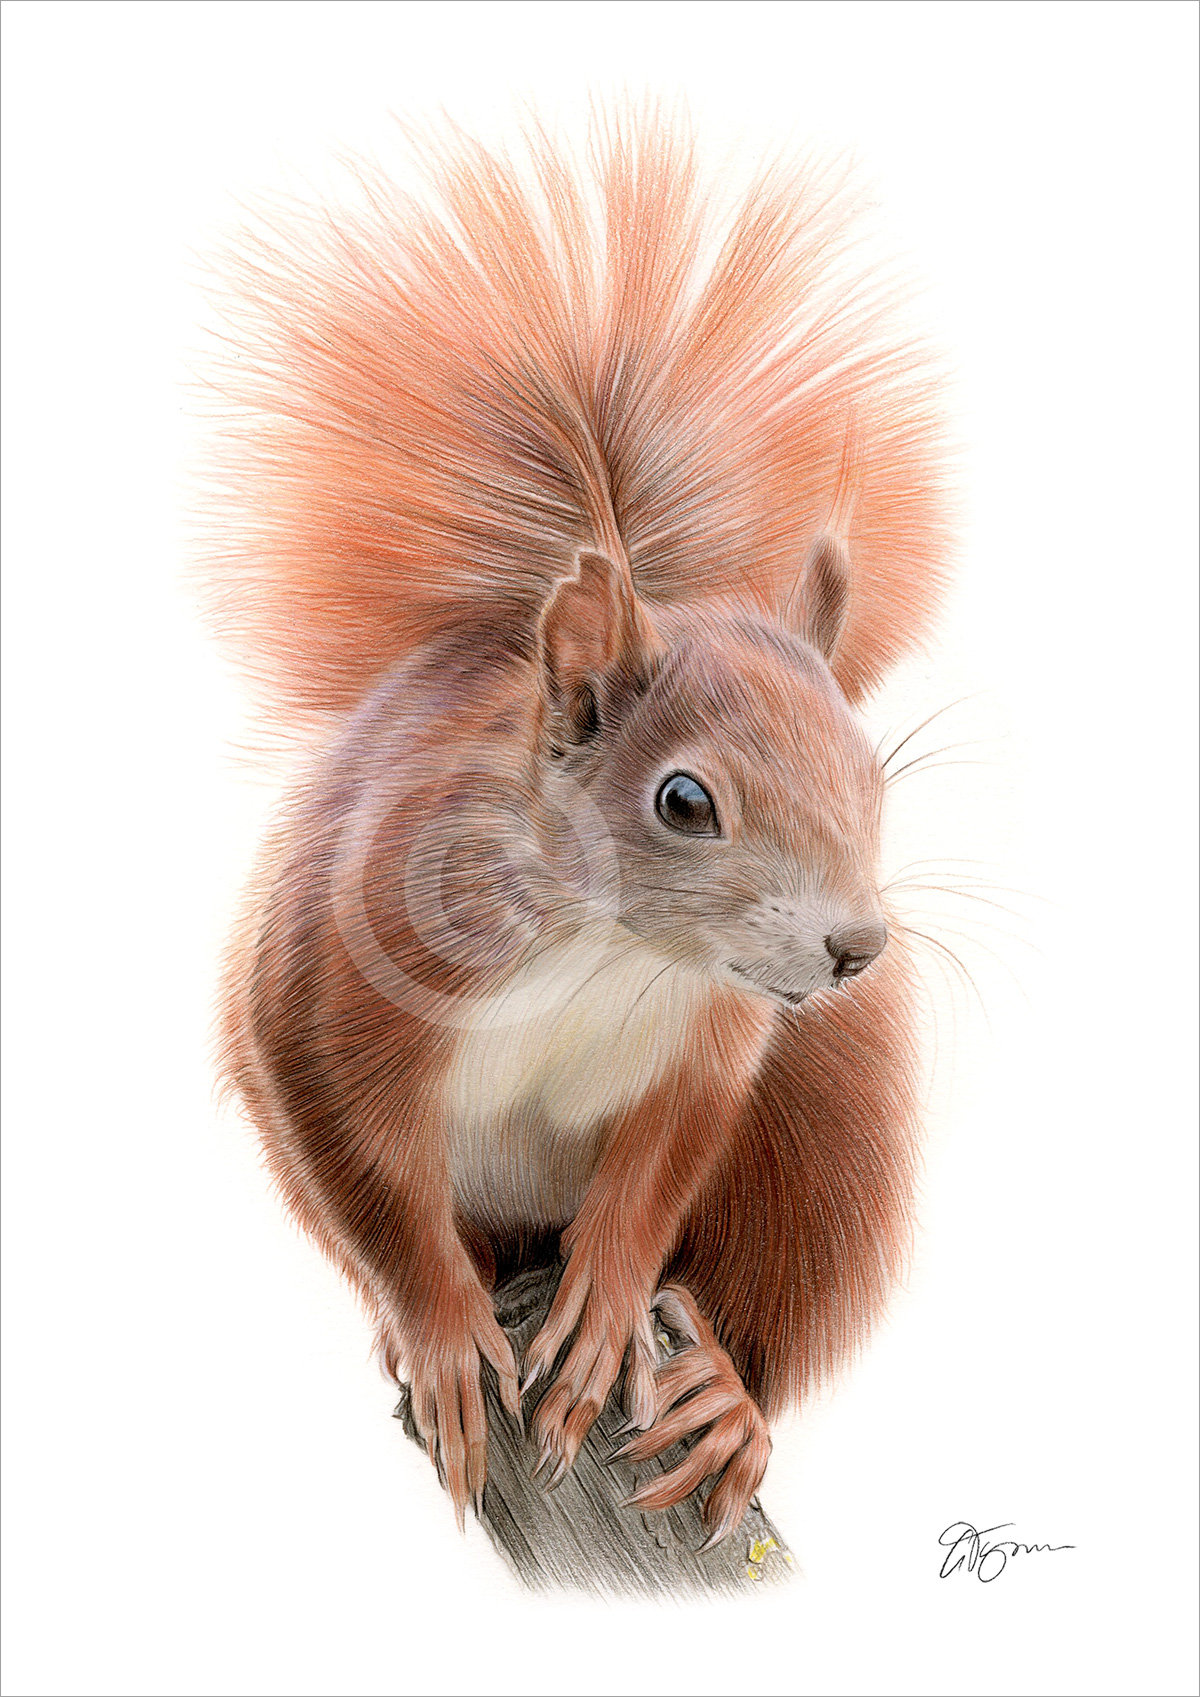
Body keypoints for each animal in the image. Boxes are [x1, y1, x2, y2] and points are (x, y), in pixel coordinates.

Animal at [204, 108, 950, 1546]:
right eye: (684, 800)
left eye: (875, 778)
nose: (855, 948)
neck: (616, 944)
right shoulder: (341, 970)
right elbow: (360, 1160)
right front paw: (441, 1335)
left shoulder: (720, 1044)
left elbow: (660, 1169)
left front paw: (604, 1295)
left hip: (820, 1126)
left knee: (782, 1282)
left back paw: (726, 1398)